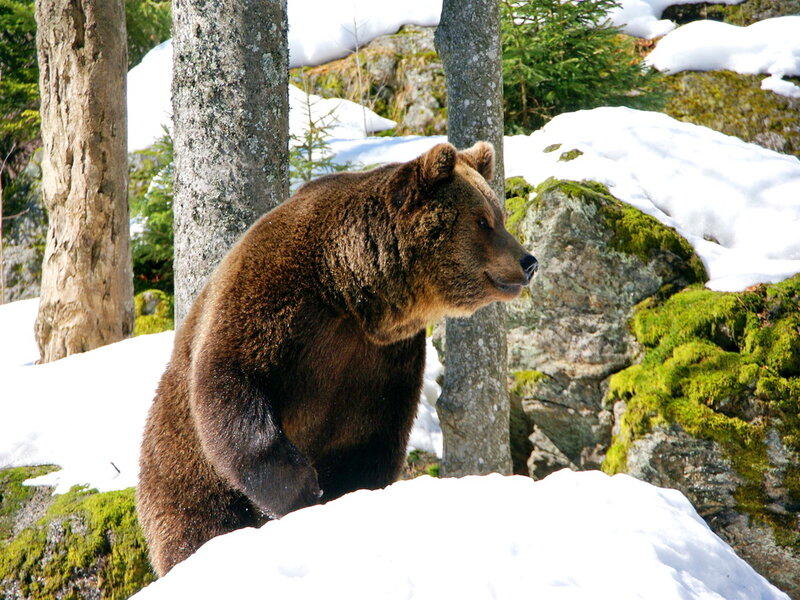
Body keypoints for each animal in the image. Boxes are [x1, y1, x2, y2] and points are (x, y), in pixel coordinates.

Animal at [136, 141, 538, 576]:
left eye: (498, 215)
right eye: (483, 220)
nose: (528, 261)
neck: (350, 291)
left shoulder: (380, 359)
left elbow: (369, 438)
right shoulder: (273, 296)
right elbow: (230, 382)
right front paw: (301, 488)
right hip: (181, 469)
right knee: (196, 521)